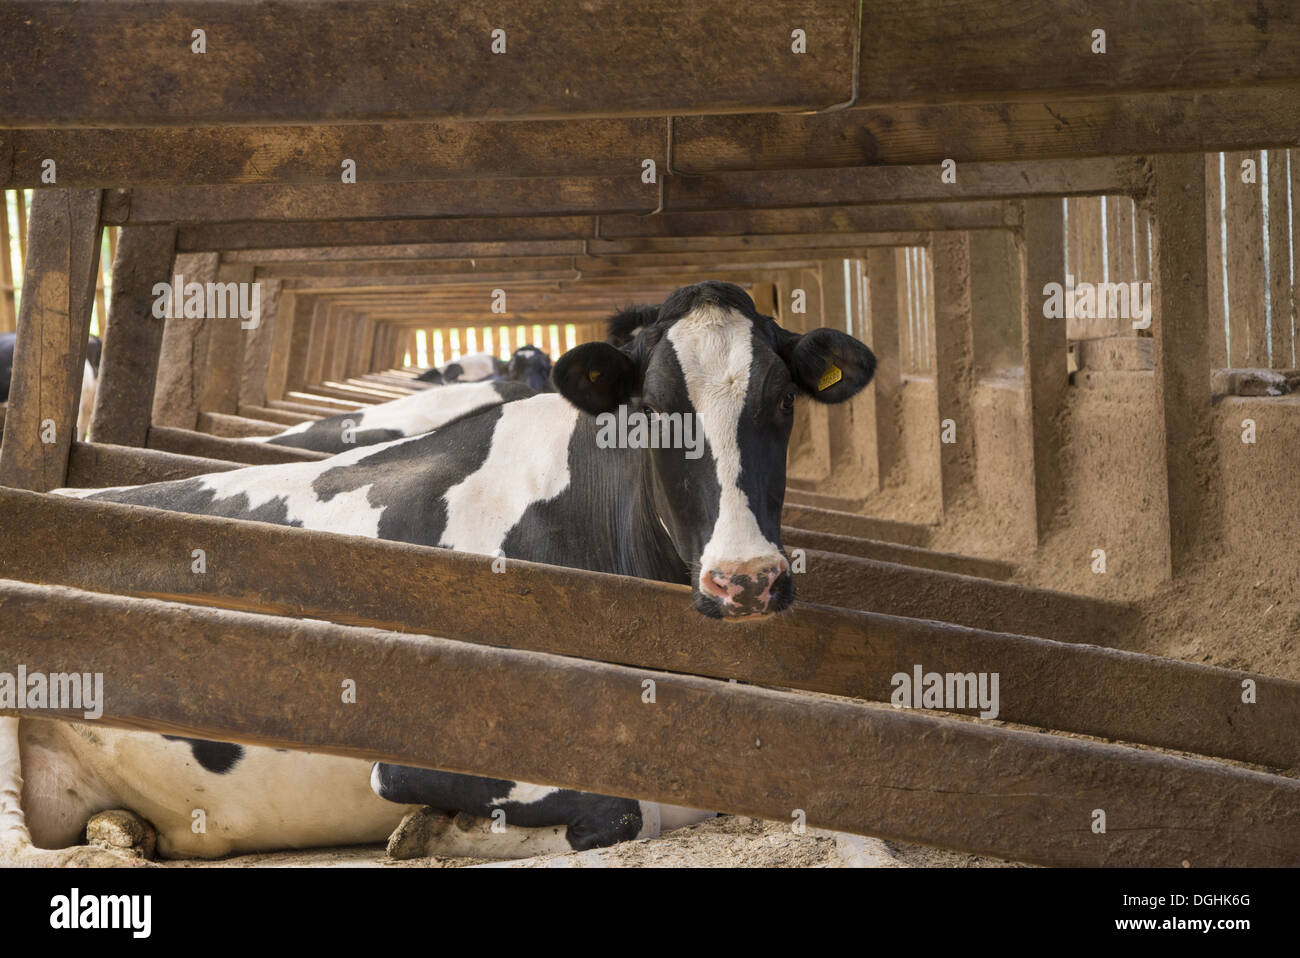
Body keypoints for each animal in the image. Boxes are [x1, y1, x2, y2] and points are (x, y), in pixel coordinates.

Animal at [1, 281, 876, 865]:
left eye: (783, 404)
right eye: (653, 410)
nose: (745, 577)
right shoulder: (422, 754)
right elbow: (631, 810)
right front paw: (441, 830)